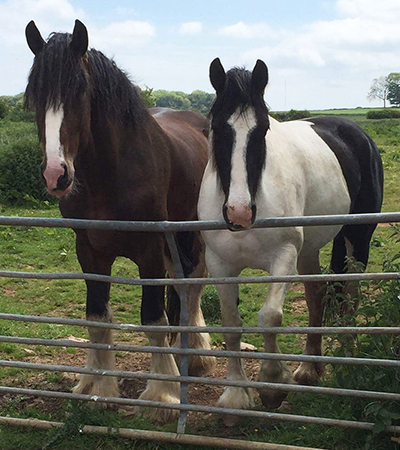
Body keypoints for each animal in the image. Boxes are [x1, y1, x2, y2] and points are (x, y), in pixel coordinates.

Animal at [25, 19, 216, 424]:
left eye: (80, 91)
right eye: (35, 93)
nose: (56, 175)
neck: (108, 176)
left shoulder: (148, 251)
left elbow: (153, 319)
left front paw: (161, 395)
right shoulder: (89, 252)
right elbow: (97, 318)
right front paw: (100, 388)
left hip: (191, 235)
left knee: (191, 287)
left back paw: (198, 355)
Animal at [198, 58, 382, 424]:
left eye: (262, 131)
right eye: (218, 130)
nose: (239, 212)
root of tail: (355, 133)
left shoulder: (283, 256)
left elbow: (270, 317)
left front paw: (271, 386)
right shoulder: (219, 263)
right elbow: (231, 324)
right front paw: (235, 395)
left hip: (357, 238)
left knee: (351, 295)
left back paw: (349, 357)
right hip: (309, 250)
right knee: (316, 295)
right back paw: (309, 368)